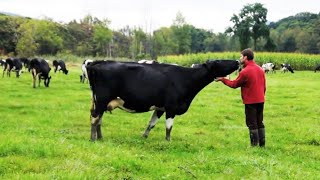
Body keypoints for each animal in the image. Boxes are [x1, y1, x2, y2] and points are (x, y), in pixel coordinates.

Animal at [86, 59, 239, 141]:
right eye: (219, 61)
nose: (237, 61)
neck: (186, 79)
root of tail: (97, 63)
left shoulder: (160, 108)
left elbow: (151, 124)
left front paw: (144, 137)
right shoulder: (171, 108)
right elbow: (169, 127)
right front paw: (168, 141)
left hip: (100, 101)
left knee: (99, 119)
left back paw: (100, 137)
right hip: (101, 100)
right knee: (95, 118)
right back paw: (93, 139)